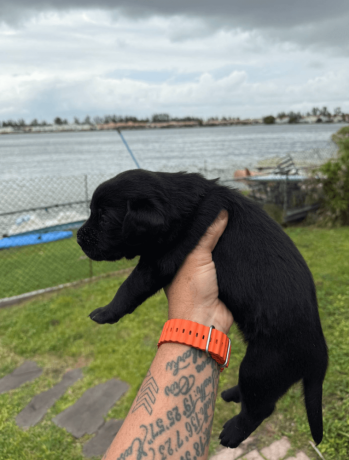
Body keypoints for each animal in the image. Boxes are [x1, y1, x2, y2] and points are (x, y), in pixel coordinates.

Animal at [77, 168, 328, 446]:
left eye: (103, 217)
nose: (77, 237)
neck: (183, 205)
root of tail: (319, 353)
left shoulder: (158, 261)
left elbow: (130, 286)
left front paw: (106, 312)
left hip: (261, 367)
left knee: (261, 408)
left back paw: (233, 432)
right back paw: (233, 393)